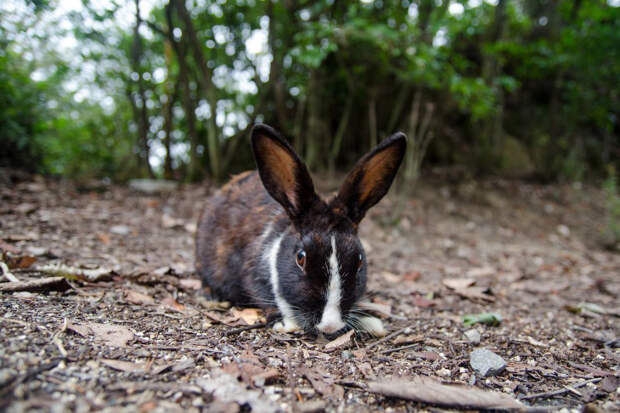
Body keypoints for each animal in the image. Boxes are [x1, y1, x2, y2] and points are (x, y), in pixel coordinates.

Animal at [195, 124, 406, 336]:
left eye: (360, 260)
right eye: (300, 258)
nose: (330, 325)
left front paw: (372, 323)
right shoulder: (253, 274)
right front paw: (285, 323)